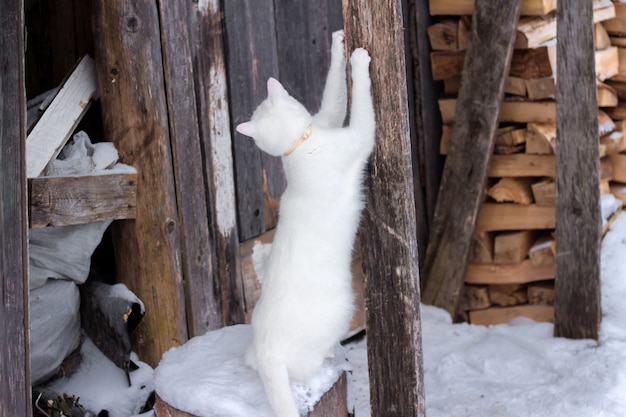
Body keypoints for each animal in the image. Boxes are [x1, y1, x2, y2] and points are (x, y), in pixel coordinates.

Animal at [233, 31, 370, 416]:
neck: (301, 145)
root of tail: (268, 355)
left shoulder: (328, 117)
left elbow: (335, 92)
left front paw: (339, 46)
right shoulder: (359, 136)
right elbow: (363, 105)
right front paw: (359, 60)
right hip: (344, 307)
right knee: (309, 364)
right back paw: (329, 357)